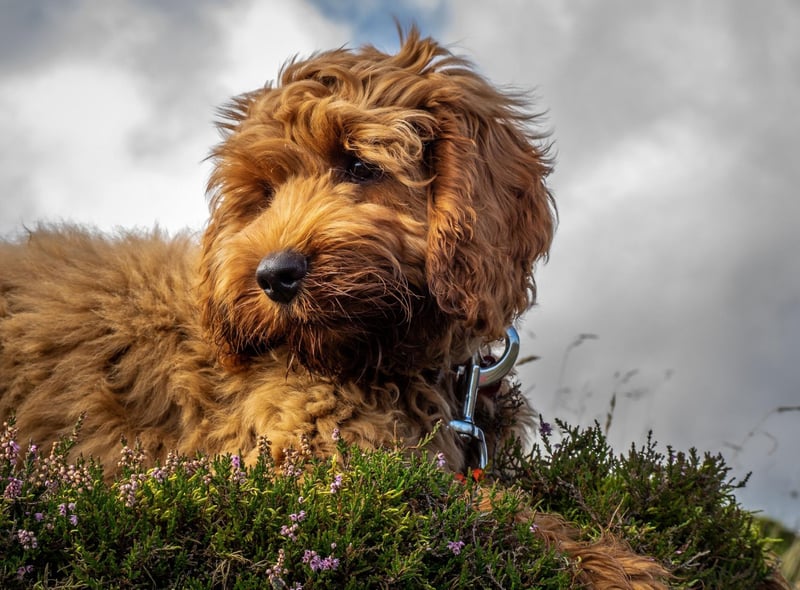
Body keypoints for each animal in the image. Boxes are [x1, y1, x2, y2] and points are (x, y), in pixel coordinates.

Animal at [3, 30, 672, 588]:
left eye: (359, 165)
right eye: (264, 194)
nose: (273, 276)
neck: (390, 358)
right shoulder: (296, 459)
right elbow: (472, 506)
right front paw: (614, 566)